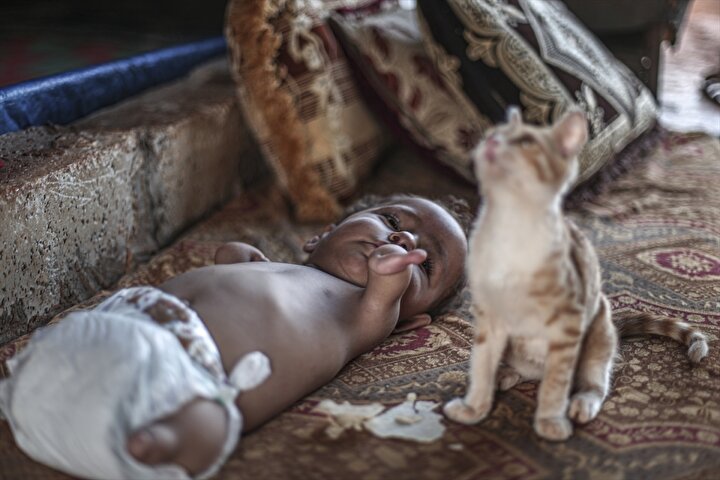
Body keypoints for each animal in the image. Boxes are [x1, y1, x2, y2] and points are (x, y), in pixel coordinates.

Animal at [444, 109, 708, 442]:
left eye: (526, 141)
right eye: (494, 134)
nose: (491, 142)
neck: (510, 229)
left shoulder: (567, 325)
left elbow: (556, 385)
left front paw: (550, 421)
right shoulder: (488, 318)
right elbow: (481, 366)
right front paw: (474, 408)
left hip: (598, 333)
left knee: (592, 382)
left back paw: (582, 402)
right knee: (518, 370)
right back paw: (504, 375)